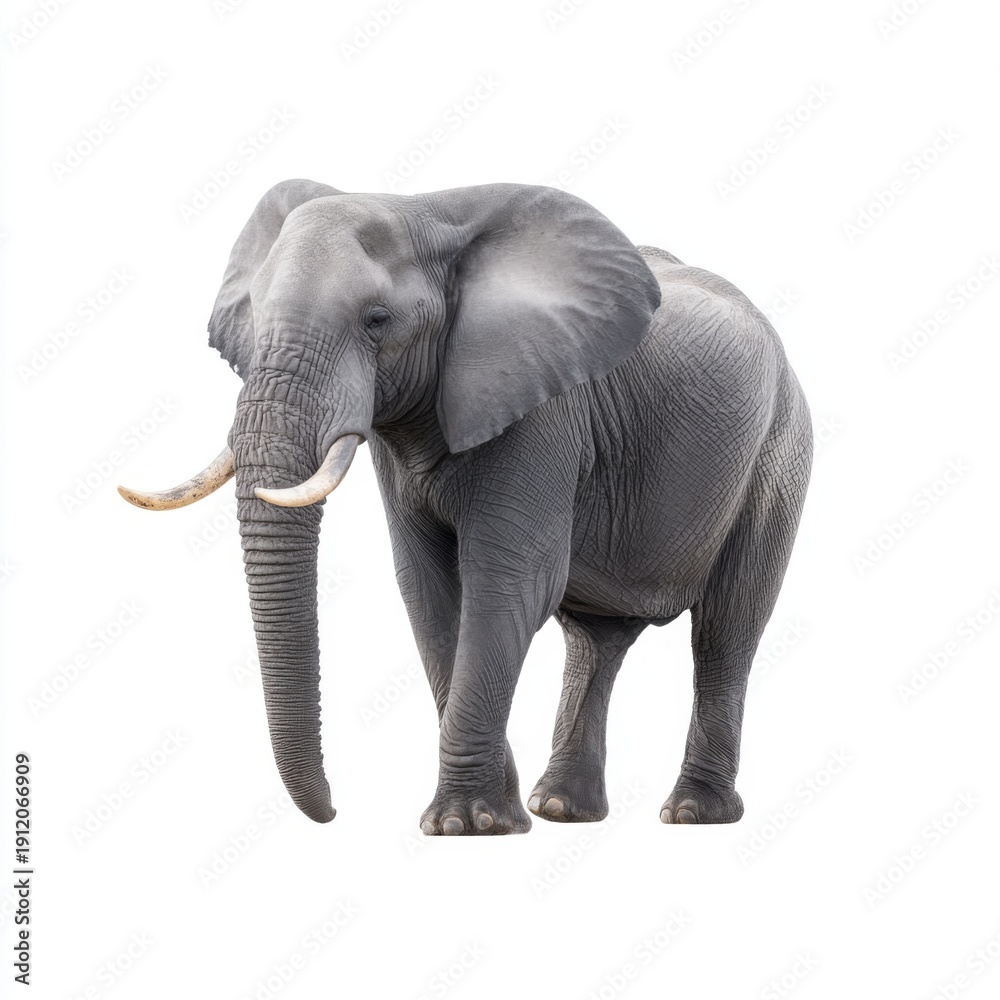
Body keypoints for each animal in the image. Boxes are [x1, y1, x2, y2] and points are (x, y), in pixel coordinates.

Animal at [119, 178, 812, 835]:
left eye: (377, 319)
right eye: (254, 315)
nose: (335, 812)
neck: (427, 213)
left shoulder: (544, 410)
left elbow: (508, 584)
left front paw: (466, 825)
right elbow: (429, 591)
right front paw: (491, 816)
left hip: (779, 450)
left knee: (728, 625)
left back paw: (694, 813)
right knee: (599, 639)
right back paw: (560, 809)